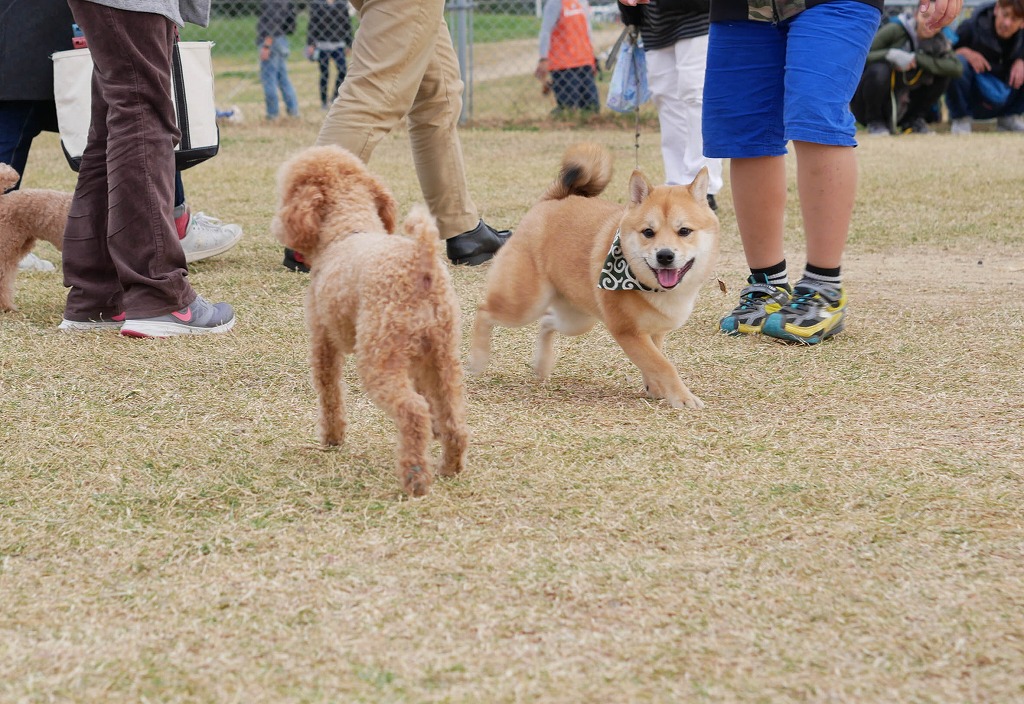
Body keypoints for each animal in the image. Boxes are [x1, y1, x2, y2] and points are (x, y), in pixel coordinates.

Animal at [270, 144, 466, 495]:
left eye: (288, 191)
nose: (279, 224)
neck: (347, 230)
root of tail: (420, 263)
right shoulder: (420, 359)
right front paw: (437, 433)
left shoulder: (323, 338)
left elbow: (329, 391)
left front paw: (332, 437)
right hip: (443, 353)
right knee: (453, 416)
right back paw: (450, 466)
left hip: (379, 355)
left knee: (413, 411)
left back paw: (416, 477)